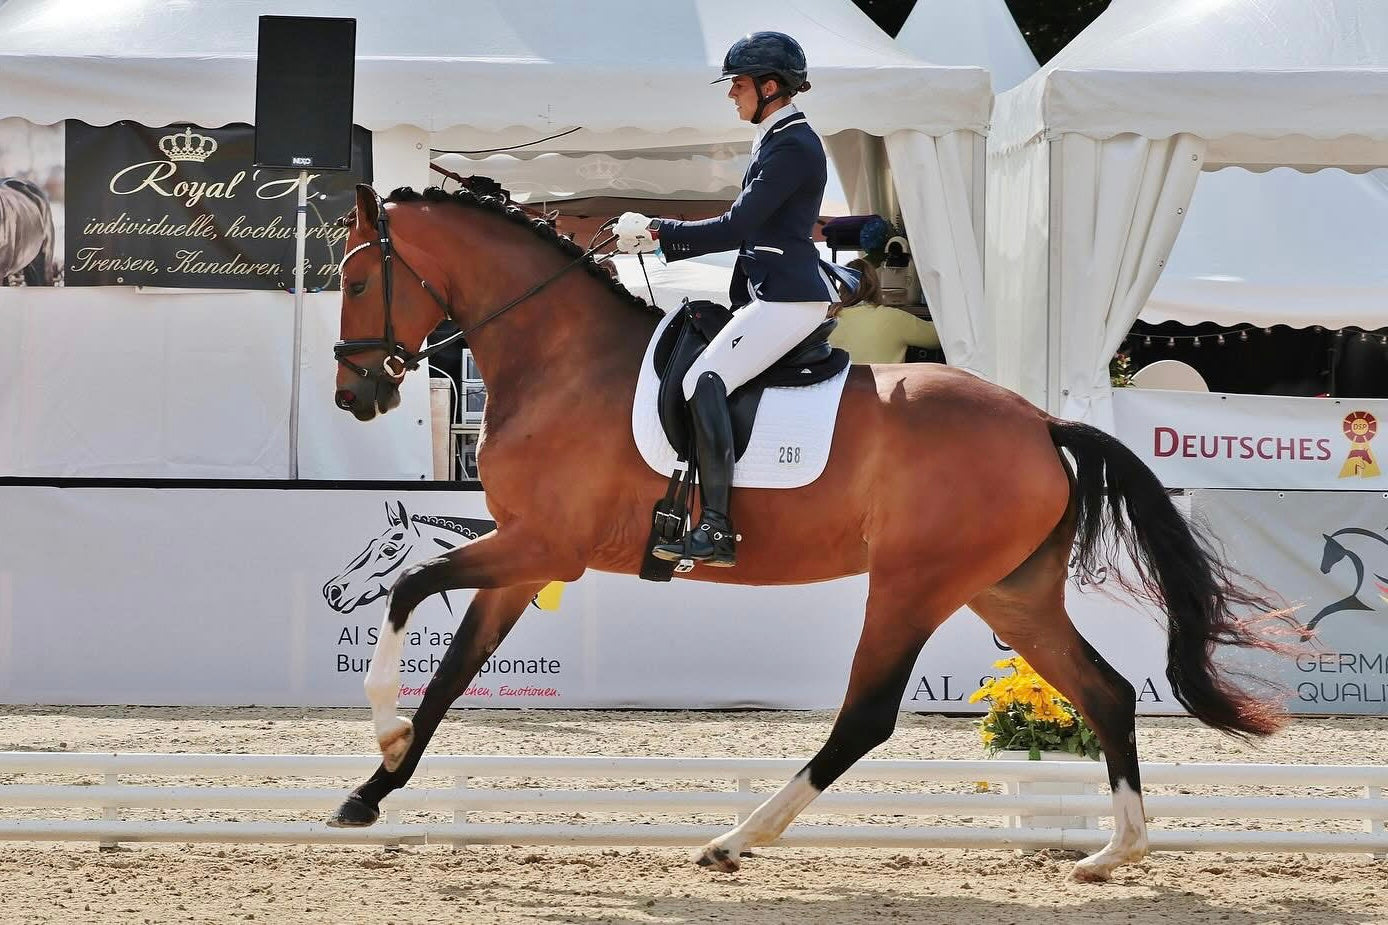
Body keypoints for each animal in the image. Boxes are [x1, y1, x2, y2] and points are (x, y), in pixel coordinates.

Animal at [325, 183, 1290, 882]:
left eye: (356, 279)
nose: (356, 395)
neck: (566, 360)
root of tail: (1042, 423)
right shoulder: (527, 558)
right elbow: (453, 672)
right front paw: (374, 788)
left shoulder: (543, 546)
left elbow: (409, 586)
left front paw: (383, 733)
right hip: (1009, 593)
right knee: (1108, 693)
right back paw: (1112, 851)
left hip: (914, 584)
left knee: (866, 716)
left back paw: (737, 837)